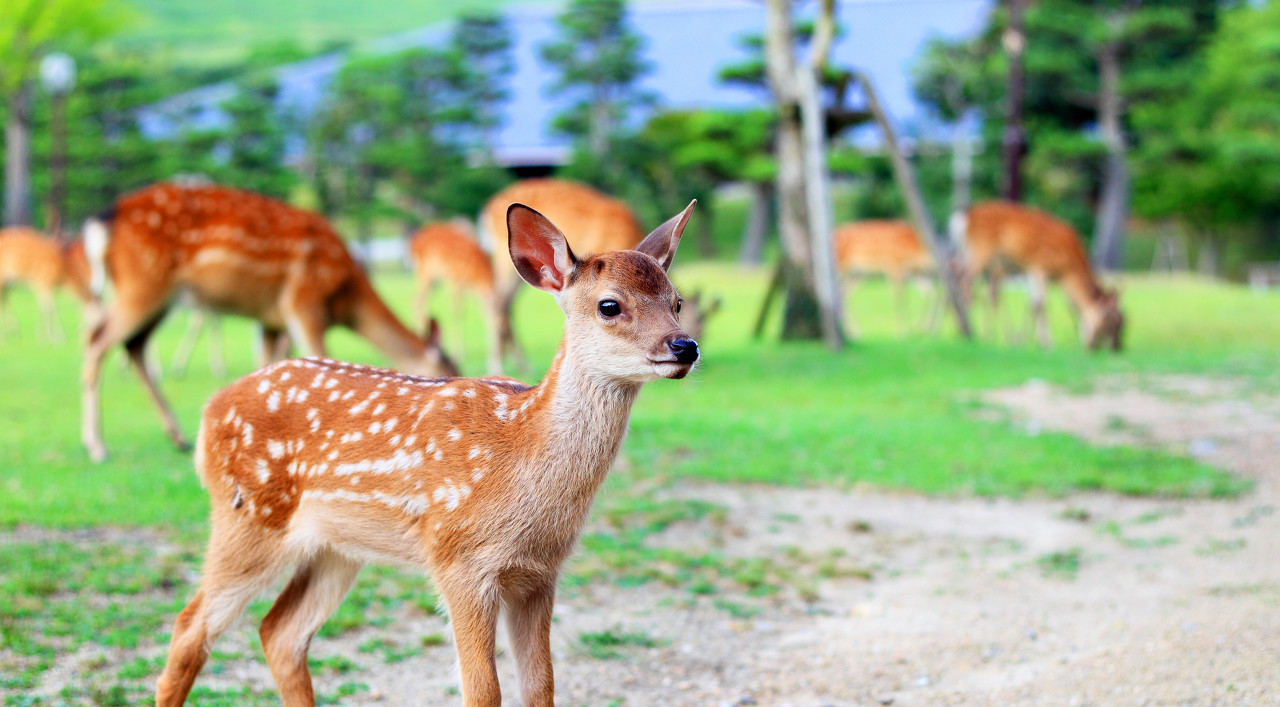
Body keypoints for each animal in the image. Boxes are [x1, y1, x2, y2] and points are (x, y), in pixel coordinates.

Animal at [81, 180, 460, 463]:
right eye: (449, 370)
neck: (345, 297)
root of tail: (103, 220)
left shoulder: (271, 319)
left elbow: (268, 367)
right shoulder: (303, 302)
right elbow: (321, 359)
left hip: (158, 294)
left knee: (133, 344)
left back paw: (177, 438)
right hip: (145, 281)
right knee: (97, 340)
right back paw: (97, 447)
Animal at [409, 220, 499, 376]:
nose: (497, 366)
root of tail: (414, 242)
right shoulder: (455, 281)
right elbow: (457, 313)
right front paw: (458, 353)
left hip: (434, 280)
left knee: (418, 300)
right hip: (425, 271)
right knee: (418, 300)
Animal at [481, 178, 645, 368]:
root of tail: (488, 209)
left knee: (505, 303)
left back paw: (521, 364)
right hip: (504, 255)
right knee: (497, 301)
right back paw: (498, 364)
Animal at [957, 199, 1126, 348]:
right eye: (1113, 321)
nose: (1117, 347)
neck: (1066, 270)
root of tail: (964, 216)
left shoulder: (1035, 273)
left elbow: (1032, 305)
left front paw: (1023, 340)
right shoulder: (1039, 266)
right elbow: (1040, 305)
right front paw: (1047, 343)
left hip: (981, 258)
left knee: (983, 289)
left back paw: (989, 333)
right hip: (982, 249)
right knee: (966, 279)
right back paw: (969, 322)